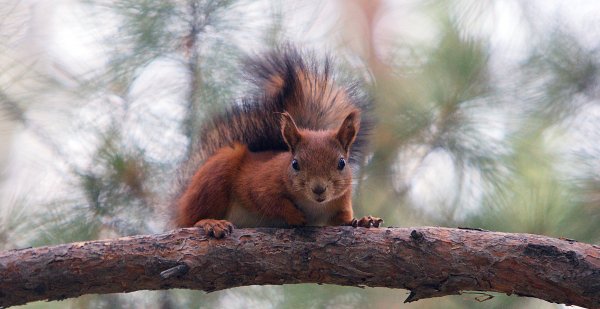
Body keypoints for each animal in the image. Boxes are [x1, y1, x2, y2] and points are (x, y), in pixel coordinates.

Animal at [171, 46, 382, 238]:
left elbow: (341, 221)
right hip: (214, 178)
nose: (319, 189)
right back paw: (211, 222)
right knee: (193, 218)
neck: (313, 204)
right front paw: (294, 215)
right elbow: (270, 202)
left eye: (342, 163)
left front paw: (363, 221)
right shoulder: (259, 183)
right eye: (295, 164)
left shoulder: (340, 203)